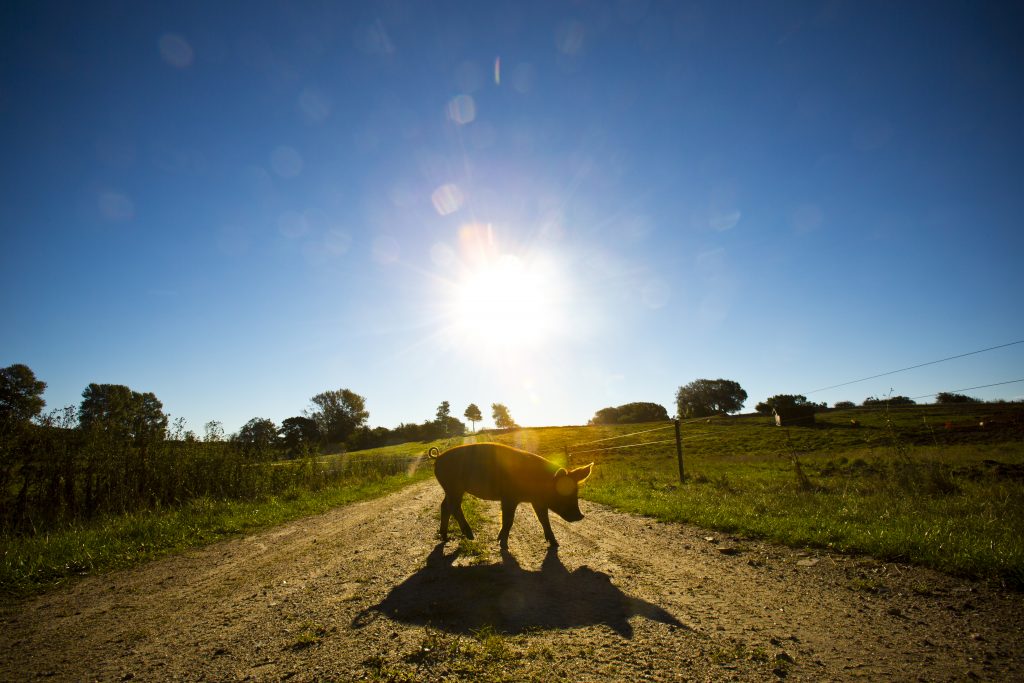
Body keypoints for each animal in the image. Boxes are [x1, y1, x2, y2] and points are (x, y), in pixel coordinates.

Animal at [430, 444, 593, 548]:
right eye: (561, 493)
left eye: (575, 492)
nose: (580, 516)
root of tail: (438, 458)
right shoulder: (509, 498)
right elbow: (508, 520)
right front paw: (502, 544)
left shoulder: (537, 501)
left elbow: (544, 520)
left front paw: (555, 544)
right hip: (454, 488)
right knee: (453, 507)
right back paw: (470, 536)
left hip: (450, 489)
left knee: (445, 506)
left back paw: (445, 537)